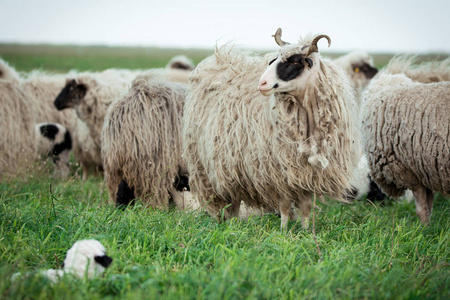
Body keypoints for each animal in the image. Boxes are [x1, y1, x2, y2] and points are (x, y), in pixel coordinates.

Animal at [183, 28, 362, 230]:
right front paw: (283, 230)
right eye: (273, 60)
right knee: (228, 201)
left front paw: (306, 230)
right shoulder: (278, 174)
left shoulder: (308, 174)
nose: (262, 83)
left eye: (295, 62)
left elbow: (306, 207)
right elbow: (284, 206)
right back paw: (228, 223)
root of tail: (217, 60)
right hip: (209, 167)